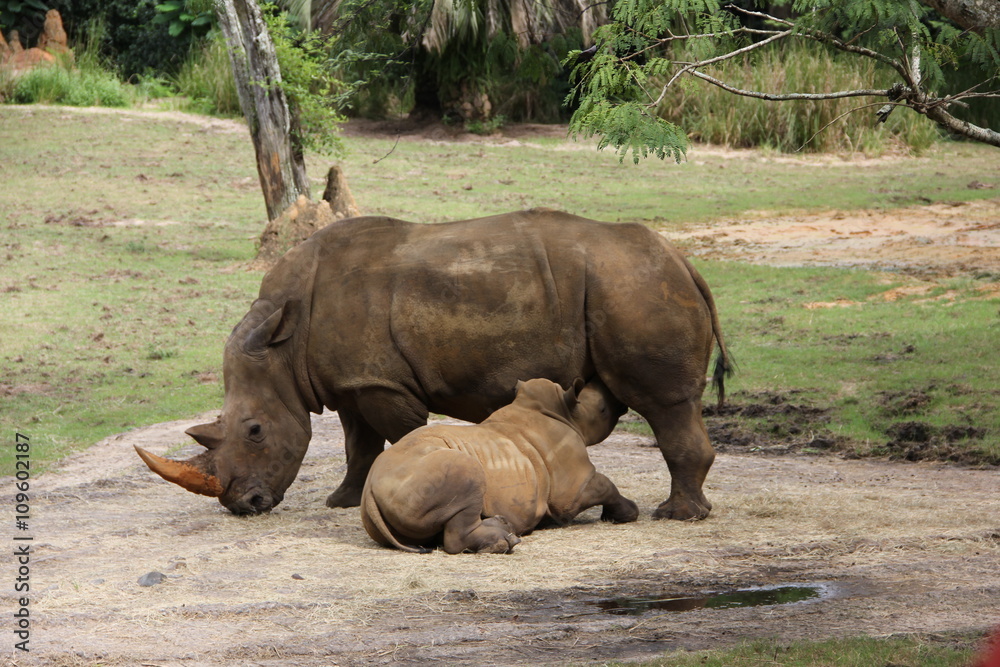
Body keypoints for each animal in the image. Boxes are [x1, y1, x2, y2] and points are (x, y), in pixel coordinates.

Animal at [135, 208, 730, 520]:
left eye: (255, 430)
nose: (246, 505)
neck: (284, 345)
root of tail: (684, 261)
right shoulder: (352, 381)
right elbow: (357, 444)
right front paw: (341, 502)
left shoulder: (382, 383)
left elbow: (398, 438)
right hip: (630, 284)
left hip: (633, 286)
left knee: (665, 403)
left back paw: (676, 515)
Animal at [362, 377, 637, 553]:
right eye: (603, 410)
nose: (618, 400)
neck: (566, 412)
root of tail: (370, 490)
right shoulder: (570, 489)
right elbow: (603, 485)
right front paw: (628, 513)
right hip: (426, 472)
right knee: (466, 472)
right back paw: (505, 543)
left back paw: (505, 528)